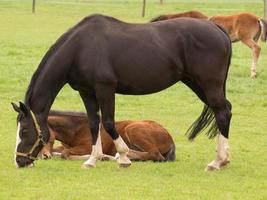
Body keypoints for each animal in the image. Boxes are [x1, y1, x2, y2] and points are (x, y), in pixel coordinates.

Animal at [40, 110, 177, 162]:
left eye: (42, 136)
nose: (44, 156)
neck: (78, 128)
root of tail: (170, 139)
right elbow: (60, 150)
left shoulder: (86, 147)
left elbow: (65, 154)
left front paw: (94, 156)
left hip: (133, 129)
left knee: (155, 154)